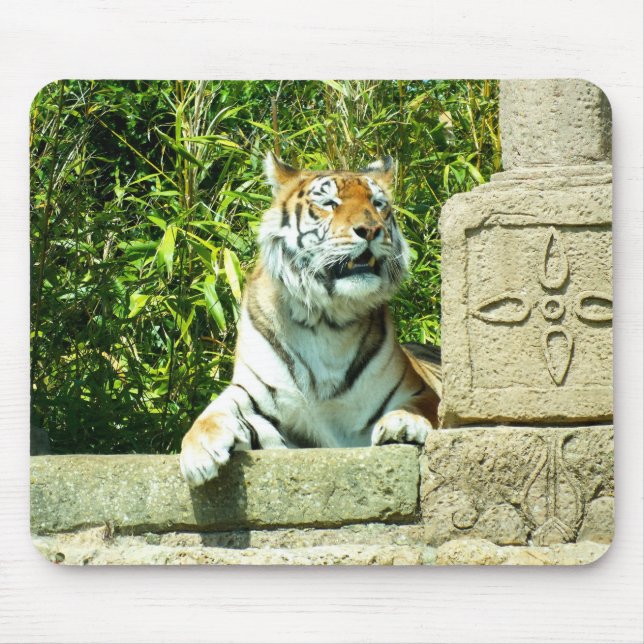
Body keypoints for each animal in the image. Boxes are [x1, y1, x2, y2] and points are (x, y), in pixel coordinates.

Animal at [179, 152, 441, 487]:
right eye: (329, 202)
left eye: (377, 203)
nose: (371, 229)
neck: (327, 320)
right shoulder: (256, 395)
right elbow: (215, 411)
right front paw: (199, 451)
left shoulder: (418, 391)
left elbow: (420, 407)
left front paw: (403, 423)